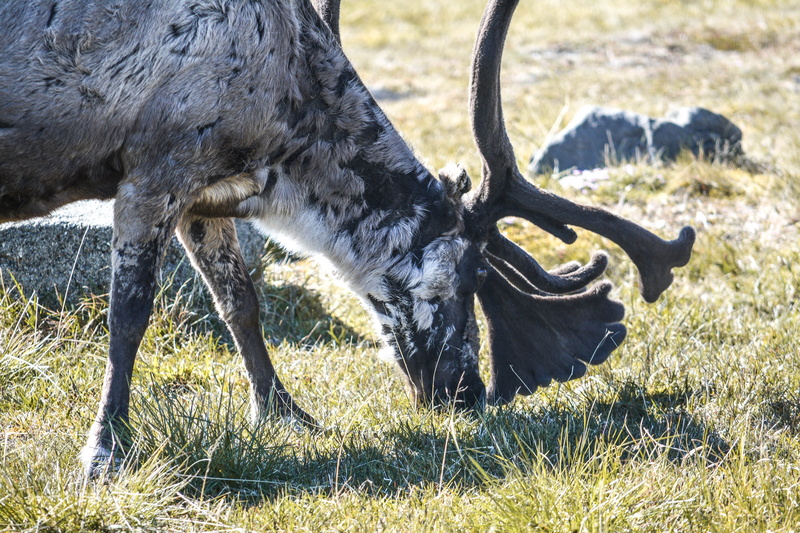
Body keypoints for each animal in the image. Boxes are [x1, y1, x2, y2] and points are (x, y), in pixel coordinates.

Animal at [0, 0, 695, 478]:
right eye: (473, 273)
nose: (468, 395)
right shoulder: (153, 173)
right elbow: (129, 314)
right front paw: (105, 448)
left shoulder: (202, 195)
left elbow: (239, 304)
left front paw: (285, 415)